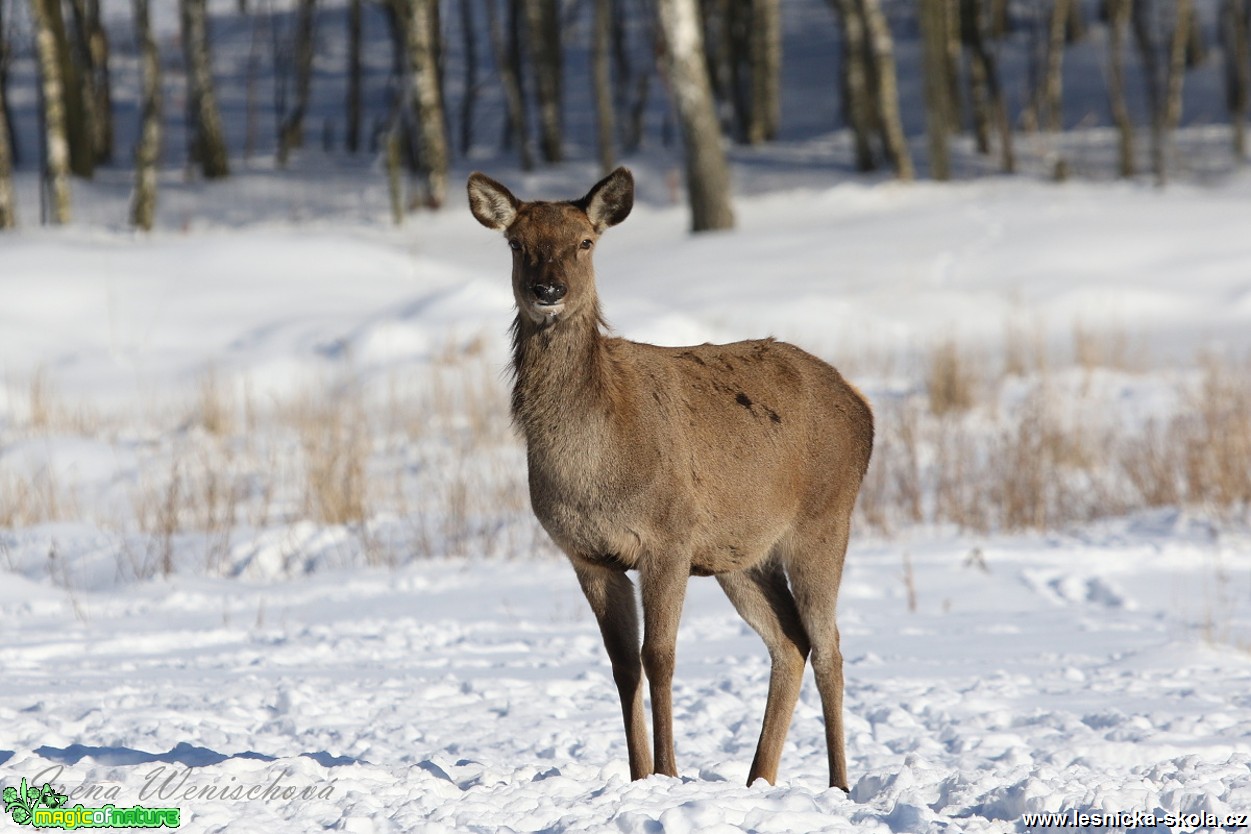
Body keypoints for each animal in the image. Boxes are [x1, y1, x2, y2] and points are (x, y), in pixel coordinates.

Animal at [465, 167, 875, 790]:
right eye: (516, 244)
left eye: (585, 242)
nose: (548, 291)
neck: (595, 470)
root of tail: (865, 409)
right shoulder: (588, 555)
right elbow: (621, 664)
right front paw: (639, 776)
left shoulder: (669, 538)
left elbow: (658, 656)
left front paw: (669, 773)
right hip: (741, 553)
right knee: (789, 641)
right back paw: (758, 779)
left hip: (824, 519)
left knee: (829, 646)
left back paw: (839, 785)